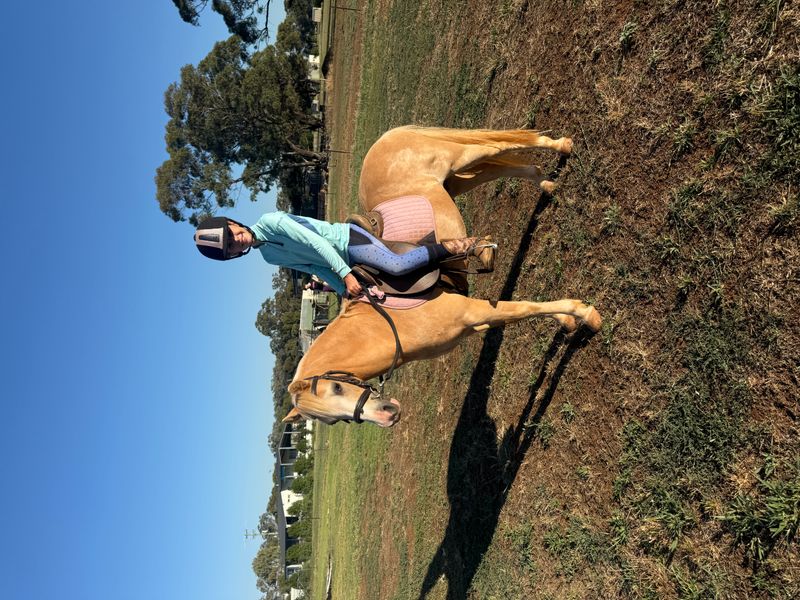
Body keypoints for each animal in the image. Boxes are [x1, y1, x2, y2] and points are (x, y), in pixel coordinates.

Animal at [282, 126, 602, 428]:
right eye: (333, 419)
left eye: (336, 388)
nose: (389, 415)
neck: (388, 325)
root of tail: (387, 138)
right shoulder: (476, 321)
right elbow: (518, 313)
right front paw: (567, 322)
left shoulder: (473, 311)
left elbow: (526, 308)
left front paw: (587, 315)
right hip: (456, 181)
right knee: (505, 167)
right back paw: (546, 186)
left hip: (459, 158)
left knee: (502, 145)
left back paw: (562, 146)